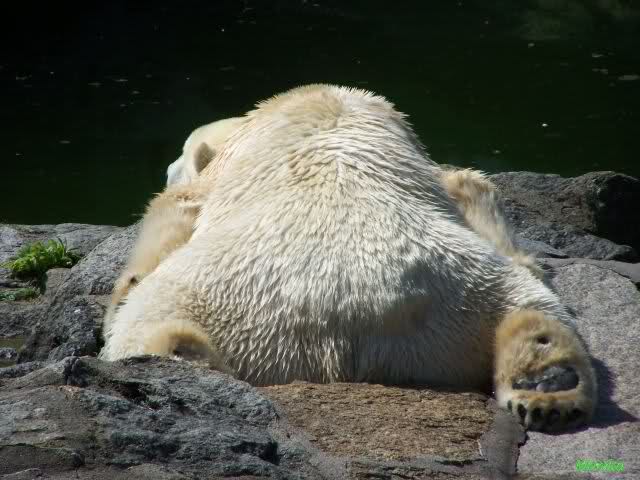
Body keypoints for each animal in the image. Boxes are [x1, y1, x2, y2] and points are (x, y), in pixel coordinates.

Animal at [101, 84, 596, 432]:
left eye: (181, 156)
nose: (167, 167)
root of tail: (349, 317)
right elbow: (470, 189)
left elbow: (174, 210)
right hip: (470, 300)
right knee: (533, 309)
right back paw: (548, 388)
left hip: (217, 294)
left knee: (143, 326)